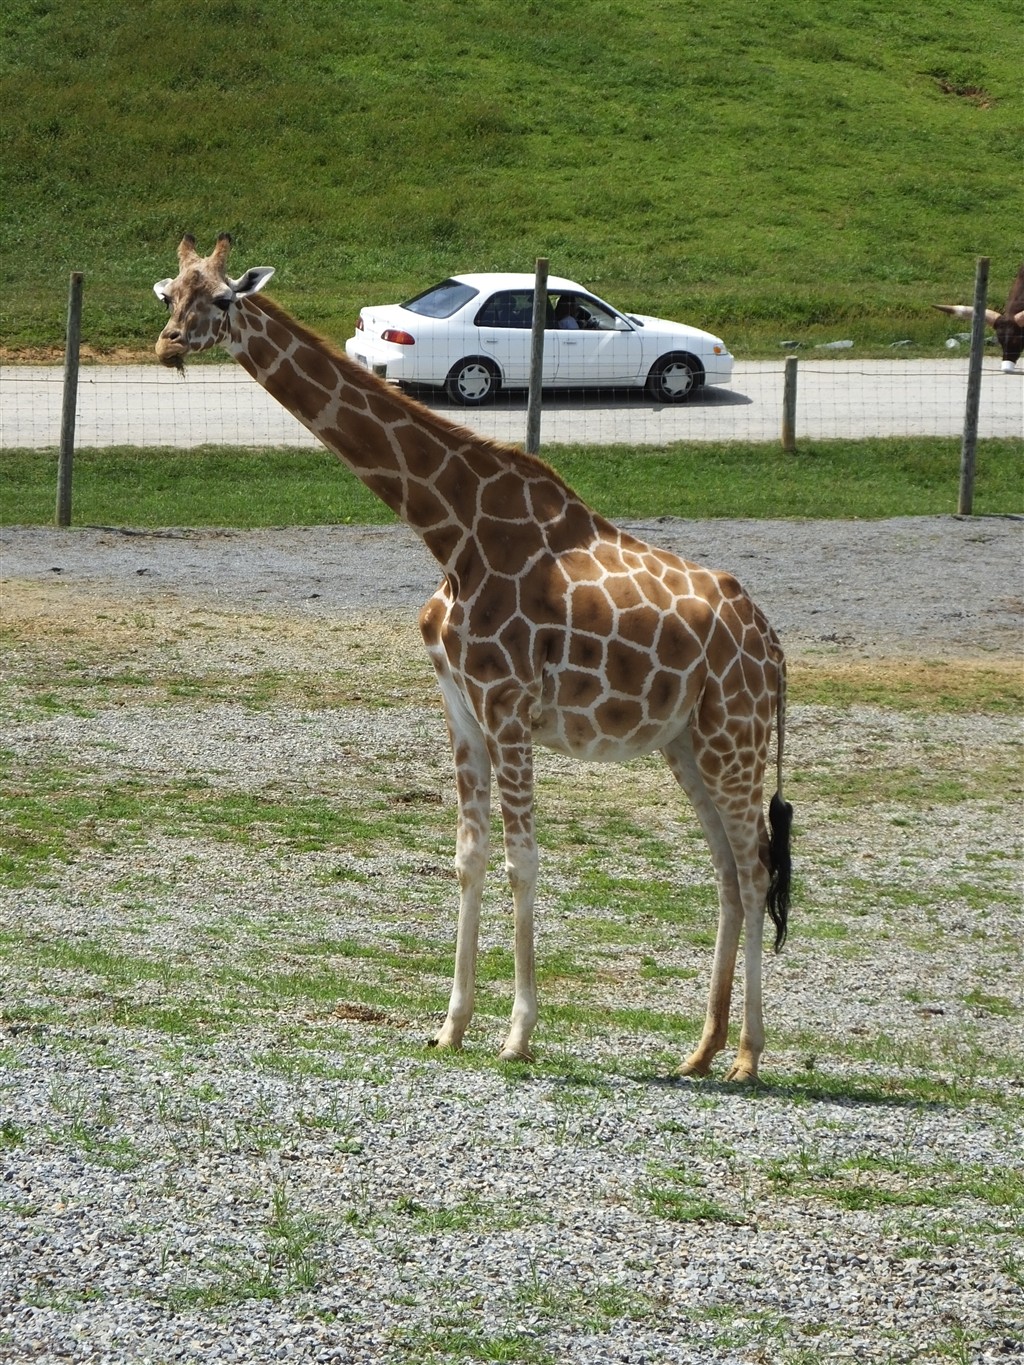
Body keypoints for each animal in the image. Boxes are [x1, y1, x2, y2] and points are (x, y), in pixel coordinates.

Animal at [154, 234, 793, 1082]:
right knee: (725, 869)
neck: (451, 529)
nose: (167, 346)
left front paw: (518, 1033)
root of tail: (773, 645)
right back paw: (703, 1046)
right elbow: (469, 855)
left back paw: (749, 1054)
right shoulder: (460, 706)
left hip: (734, 734)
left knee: (754, 868)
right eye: (171, 294)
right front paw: (450, 1024)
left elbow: (523, 859)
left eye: (223, 298)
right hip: (686, 743)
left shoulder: (511, 706)